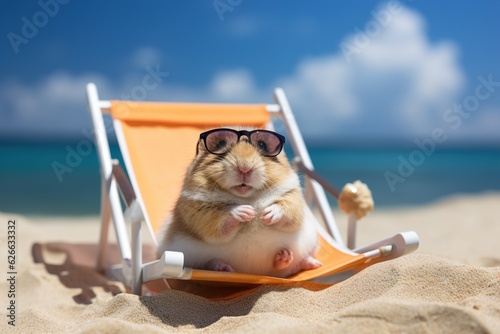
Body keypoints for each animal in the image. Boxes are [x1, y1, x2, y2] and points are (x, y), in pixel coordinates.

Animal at [155, 126, 320, 278]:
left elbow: (286, 210)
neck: (246, 196)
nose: (244, 168)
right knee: (208, 263)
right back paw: (222, 267)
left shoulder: (292, 196)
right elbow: (222, 217)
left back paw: (299, 260)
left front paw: (266, 215)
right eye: (221, 143)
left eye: (262, 145)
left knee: (287, 266)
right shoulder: (198, 211)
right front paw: (247, 212)